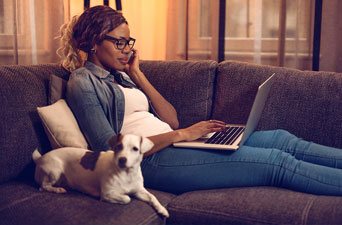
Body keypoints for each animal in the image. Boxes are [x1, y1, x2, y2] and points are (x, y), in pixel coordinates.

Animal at [32, 134, 169, 218]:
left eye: (135, 149)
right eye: (118, 147)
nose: (122, 160)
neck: (126, 174)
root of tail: (40, 158)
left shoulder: (139, 191)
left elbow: (152, 197)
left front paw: (162, 209)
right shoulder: (107, 194)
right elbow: (127, 198)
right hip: (55, 170)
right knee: (43, 186)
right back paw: (57, 189)